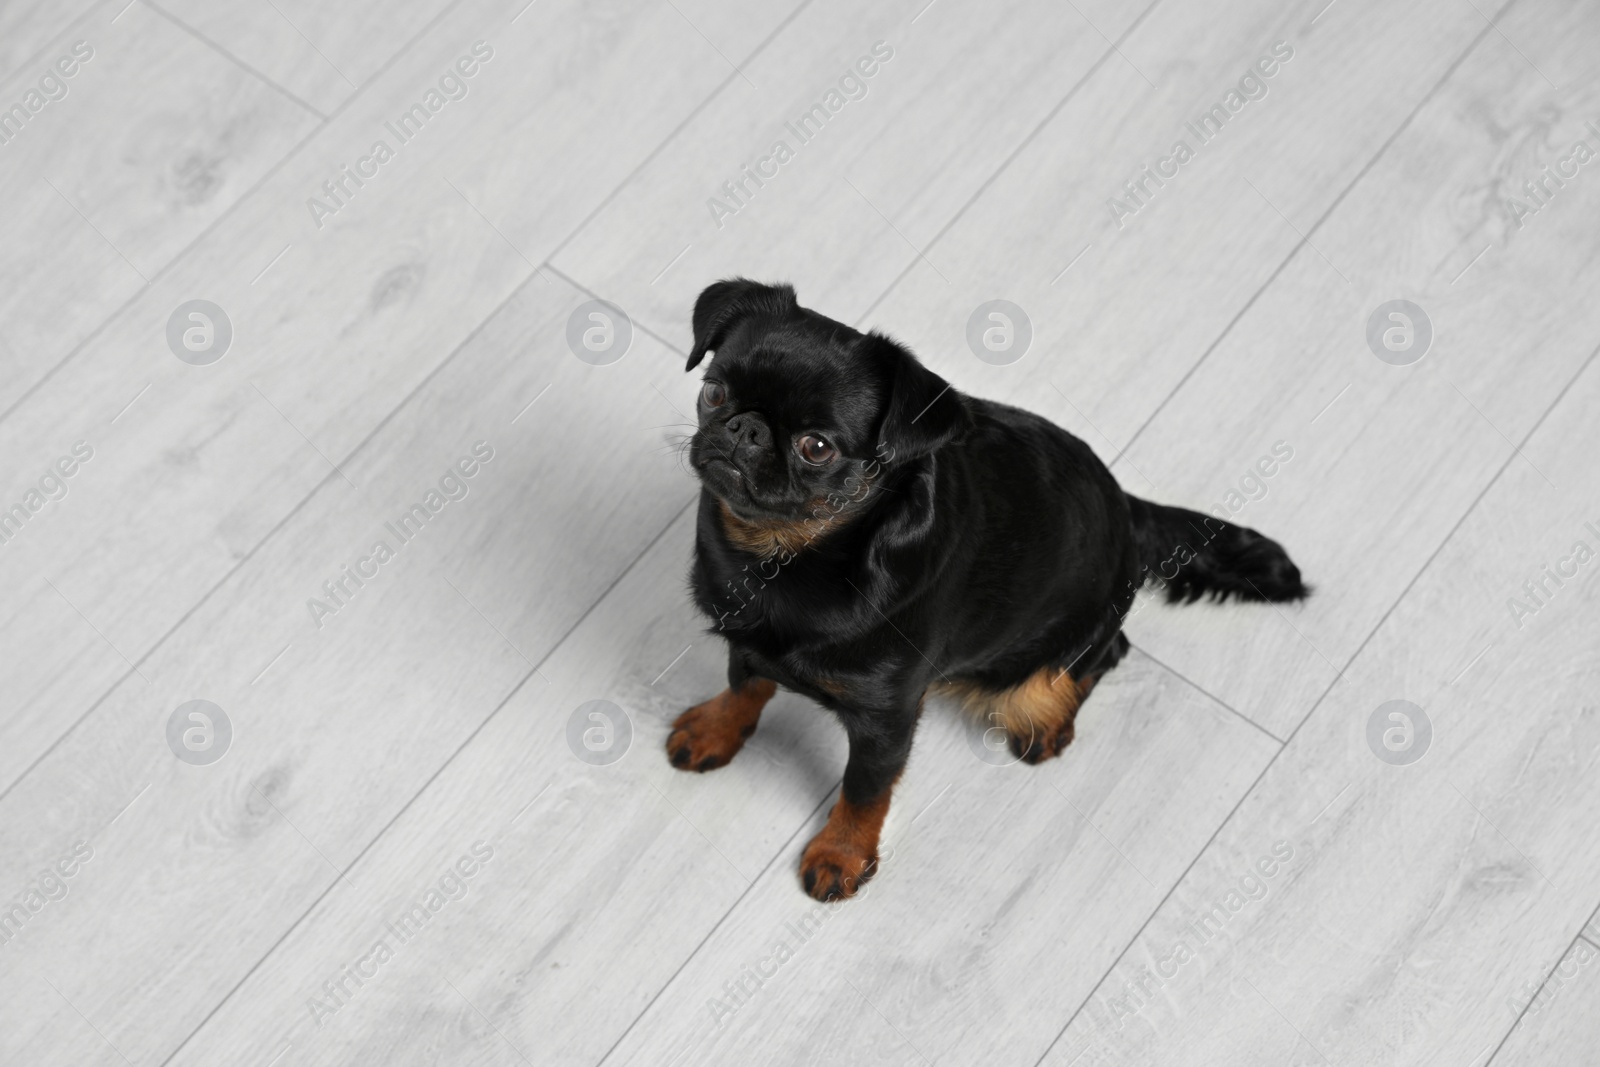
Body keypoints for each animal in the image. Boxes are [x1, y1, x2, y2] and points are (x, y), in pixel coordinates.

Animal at [662, 278, 1299, 902]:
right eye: (714, 392)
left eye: (816, 447)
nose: (744, 428)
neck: (785, 556)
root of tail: (1126, 505)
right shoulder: (745, 637)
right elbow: (744, 683)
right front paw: (717, 728)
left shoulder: (887, 720)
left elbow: (864, 791)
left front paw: (841, 855)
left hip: (1038, 663)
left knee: (1098, 658)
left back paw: (1050, 723)